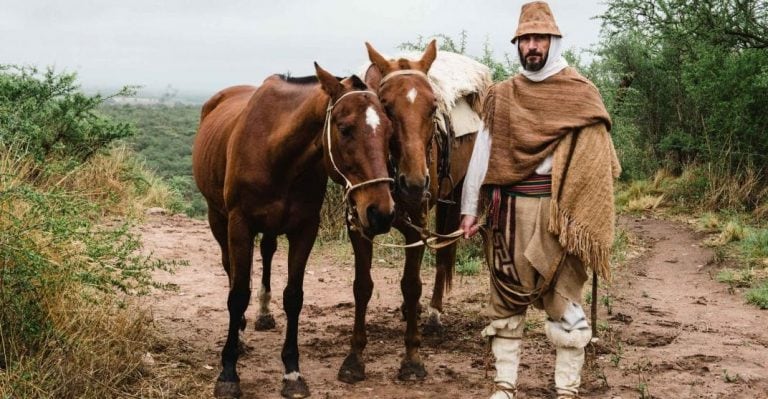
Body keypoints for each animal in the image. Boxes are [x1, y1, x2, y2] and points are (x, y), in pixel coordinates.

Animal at [192, 64, 396, 398]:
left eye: (390, 131)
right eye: (345, 128)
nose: (380, 212)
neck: (276, 151)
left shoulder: (304, 228)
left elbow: (294, 297)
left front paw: (291, 372)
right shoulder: (239, 224)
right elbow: (238, 293)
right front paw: (228, 372)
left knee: (267, 252)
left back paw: (263, 314)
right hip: (217, 218)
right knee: (230, 268)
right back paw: (242, 332)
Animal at [334, 41, 492, 384]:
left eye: (433, 107)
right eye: (386, 107)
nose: (415, 183)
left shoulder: (416, 227)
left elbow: (411, 284)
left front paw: (412, 360)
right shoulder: (359, 228)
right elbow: (362, 286)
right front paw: (354, 358)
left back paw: (438, 315)